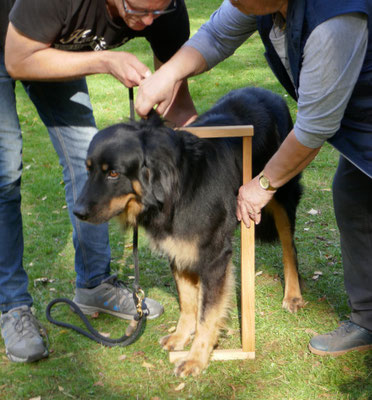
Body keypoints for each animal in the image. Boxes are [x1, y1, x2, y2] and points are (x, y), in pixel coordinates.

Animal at [73, 87, 306, 378]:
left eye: (113, 174)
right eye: (89, 169)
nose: (77, 212)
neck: (178, 187)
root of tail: (270, 93)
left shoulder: (215, 257)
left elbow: (207, 312)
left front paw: (197, 358)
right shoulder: (177, 248)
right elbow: (187, 300)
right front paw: (181, 336)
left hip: (281, 193)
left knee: (289, 248)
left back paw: (293, 295)